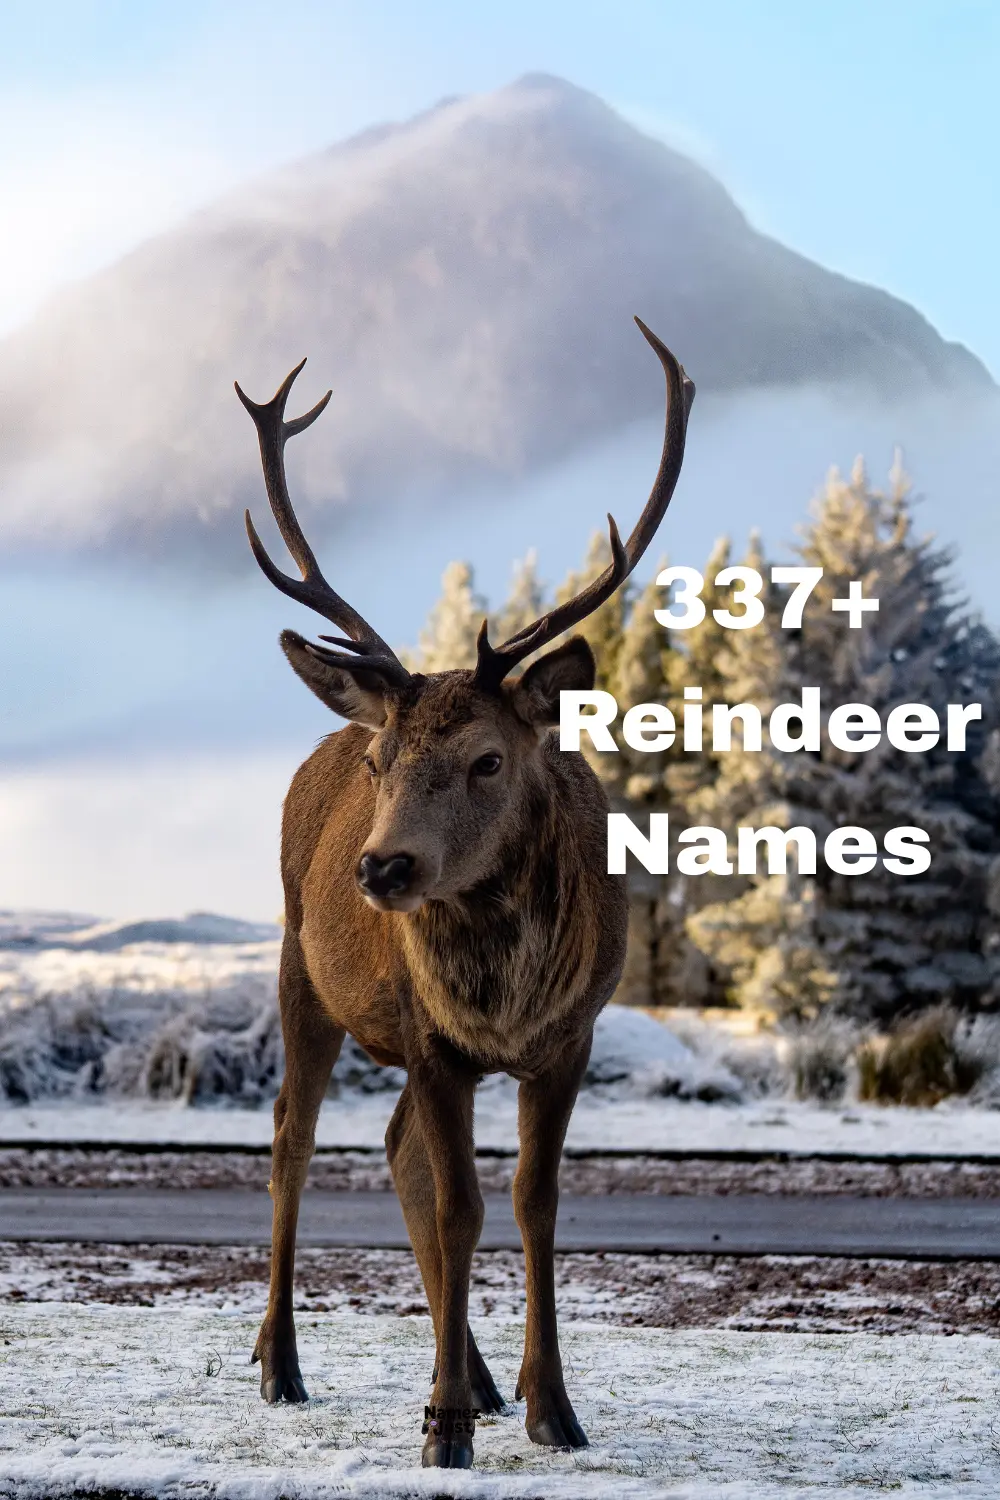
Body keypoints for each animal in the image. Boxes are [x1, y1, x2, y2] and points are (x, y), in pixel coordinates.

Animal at [236, 317, 694, 1470]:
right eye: (382, 762)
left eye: (488, 759)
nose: (381, 868)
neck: (505, 995)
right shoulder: (434, 1038)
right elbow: (461, 1209)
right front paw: (442, 1425)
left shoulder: (570, 1039)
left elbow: (531, 1204)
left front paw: (549, 1405)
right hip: (301, 969)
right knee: (292, 1141)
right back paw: (282, 1363)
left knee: (397, 1150)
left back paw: (482, 1379)